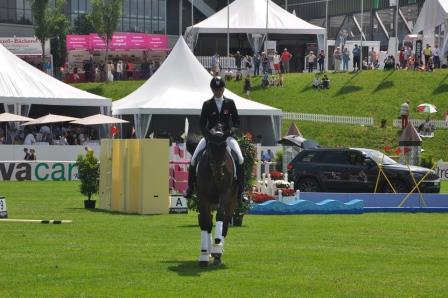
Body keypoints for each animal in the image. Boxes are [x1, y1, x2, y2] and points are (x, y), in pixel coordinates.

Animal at [191, 123, 240, 268]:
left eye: (224, 148)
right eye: (209, 149)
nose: (219, 175)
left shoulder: (225, 193)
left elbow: (221, 216)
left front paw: (217, 249)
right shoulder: (202, 195)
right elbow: (205, 221)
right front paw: (203, 254)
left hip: (232, 201)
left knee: (225, 223)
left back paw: (218, 250)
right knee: (206, 221)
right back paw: (208, 251)